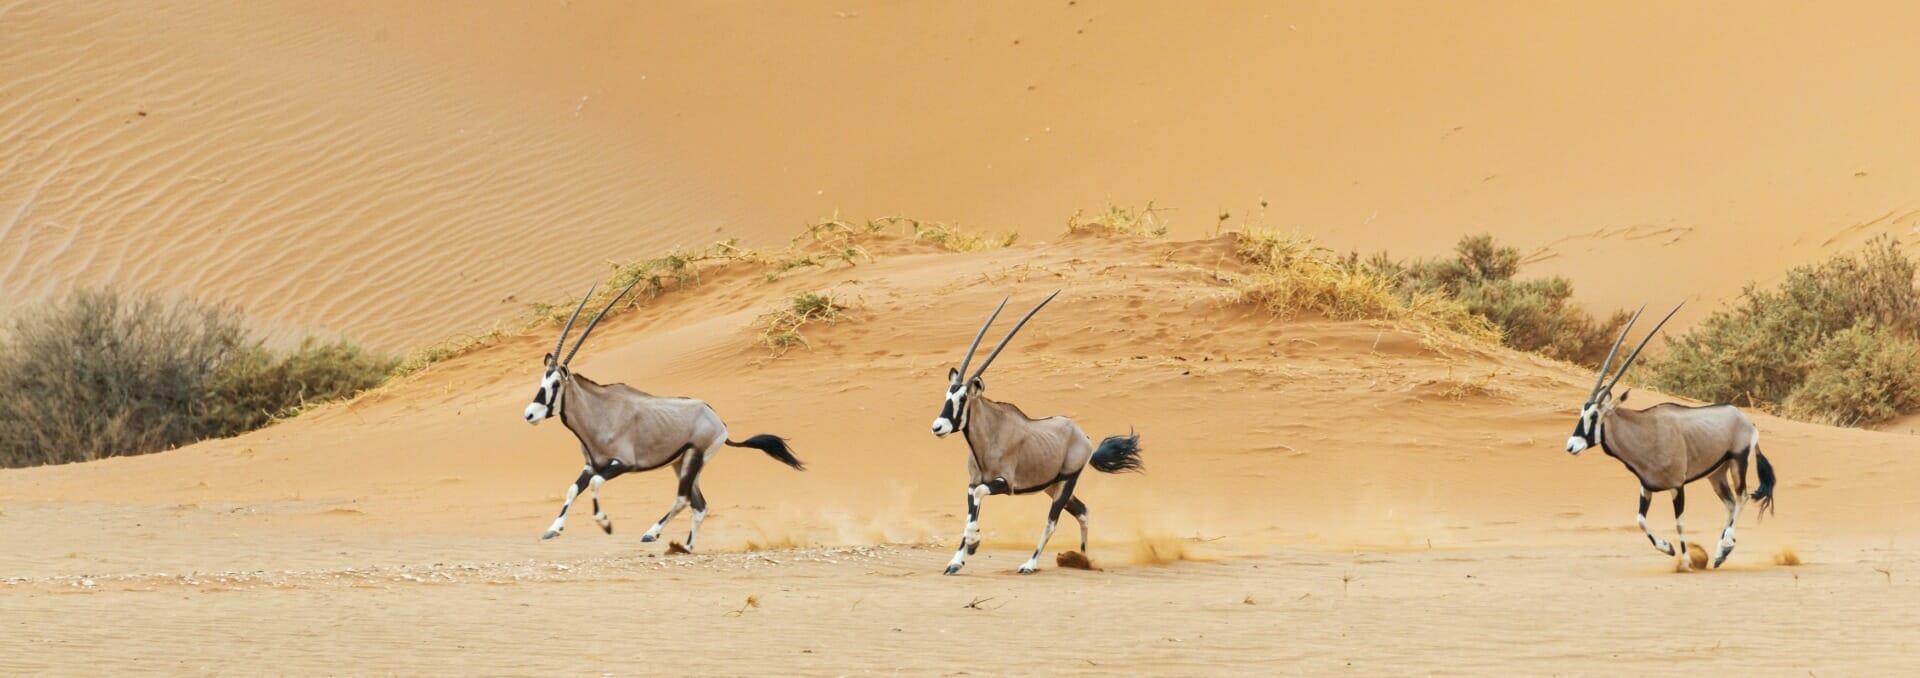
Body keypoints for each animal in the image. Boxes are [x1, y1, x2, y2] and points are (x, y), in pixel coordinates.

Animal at [522, 280, 806, 549]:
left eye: (556, 384)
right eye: (542, 381)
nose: (530, 415)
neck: (599, 412)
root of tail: (718, 419)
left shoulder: (622, 463)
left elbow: (594, 485)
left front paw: (605, 524)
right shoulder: (592, 465)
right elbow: (573, 489)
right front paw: (553, 529)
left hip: (693, 458)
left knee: (682, 499)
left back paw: (652, 533)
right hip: (681, 464)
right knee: (699, 505)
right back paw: (686, 547)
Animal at [929, 288, 1136, 572]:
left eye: (963, 398)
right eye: (947, 395)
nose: (938, 427)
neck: (989, 436)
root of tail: (1084, 438)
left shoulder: (1004, 483)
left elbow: (980, 502)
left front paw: (973, 544)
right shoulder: (973, 483)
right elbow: (971, 512)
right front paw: (957, 560)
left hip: (1066, 482)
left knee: (1052, 522)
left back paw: (1030, 563)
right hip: (1052, 485)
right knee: (1083, 511)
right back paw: (1083, 559)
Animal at [1566, 303, 1774, 568]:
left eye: (1594, 415)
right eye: (1581, 413)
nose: (1571, 446)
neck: (1644, 431)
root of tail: (1746, 420)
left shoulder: (1677, 486)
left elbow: (1680, 523)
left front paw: (1685, 562)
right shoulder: (1646, 487)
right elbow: (1640, 519)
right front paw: (1668, 548)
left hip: (1738, 462)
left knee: (1742, 497)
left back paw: (1725, 546)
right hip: (1716, 473)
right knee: (1729, 502)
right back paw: (1720, 554)